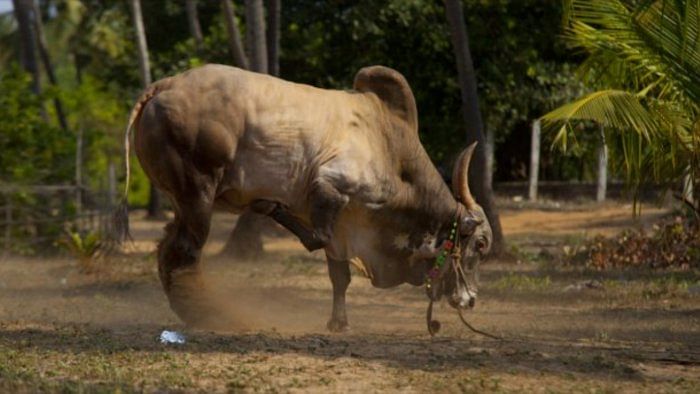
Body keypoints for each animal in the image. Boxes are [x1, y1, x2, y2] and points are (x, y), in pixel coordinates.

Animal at [121, 65, 492, 332]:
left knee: (167, 249)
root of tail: (165, 85)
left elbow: (339, 276)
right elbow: (317, 238)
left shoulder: (344, 225)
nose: (472, 299)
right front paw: (270, 205)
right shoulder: (331, 188)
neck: (392, 152)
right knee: (183, 254)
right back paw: (211, 315)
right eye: (480, 244)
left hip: (182, 201)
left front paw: (338, 323)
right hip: (198, 194)